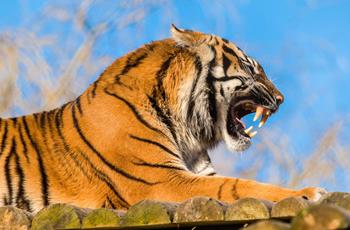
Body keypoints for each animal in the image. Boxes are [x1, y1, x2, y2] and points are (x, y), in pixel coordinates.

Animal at [0, 24, 326, 212]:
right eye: (250, 69)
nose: (281, 99)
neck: (186, 128)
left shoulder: (196, 173)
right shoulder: (163, 181)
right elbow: (239, 186)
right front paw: (311, 192)